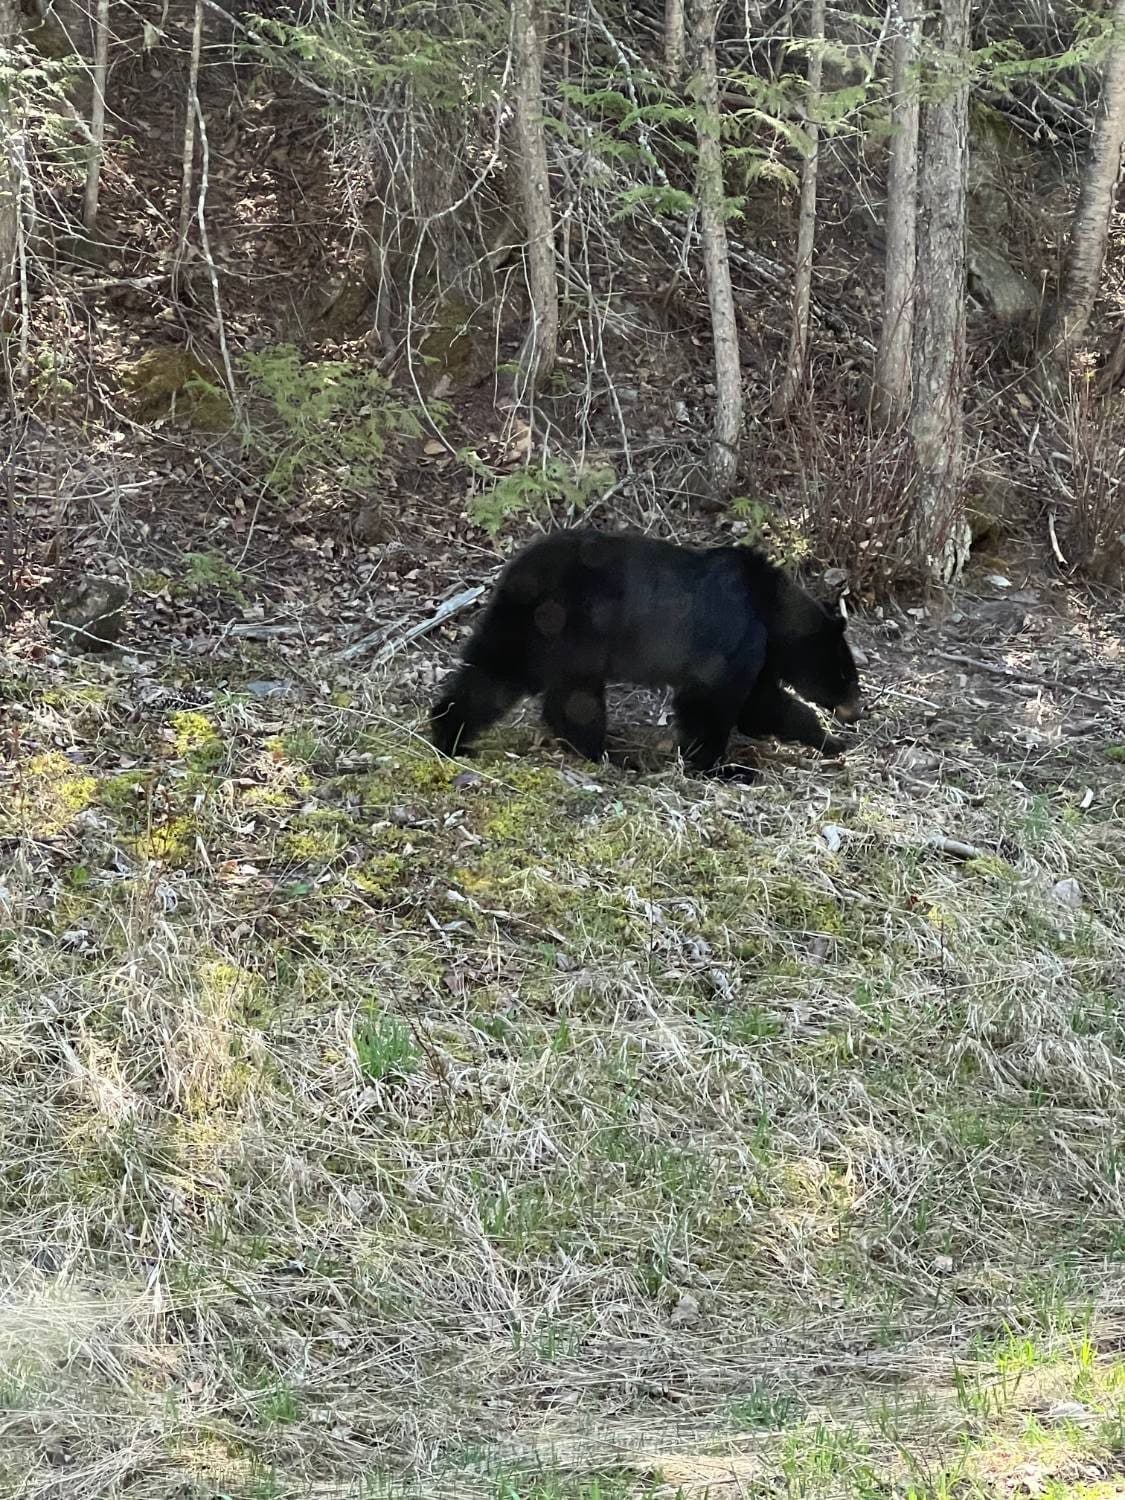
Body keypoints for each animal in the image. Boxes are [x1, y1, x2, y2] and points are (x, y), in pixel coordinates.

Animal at [430, 529, 863, 779]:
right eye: (846, 674)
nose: (856, 712)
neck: (769, 610)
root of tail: (517, 571)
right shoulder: (732, 637)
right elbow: (715, 701)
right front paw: (722, 768)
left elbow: (760, 703)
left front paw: (828, 742)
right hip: (566, 628)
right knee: (562, 696)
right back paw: (607, 754)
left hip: (533, 631)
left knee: (497, 676)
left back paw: (451, 735)